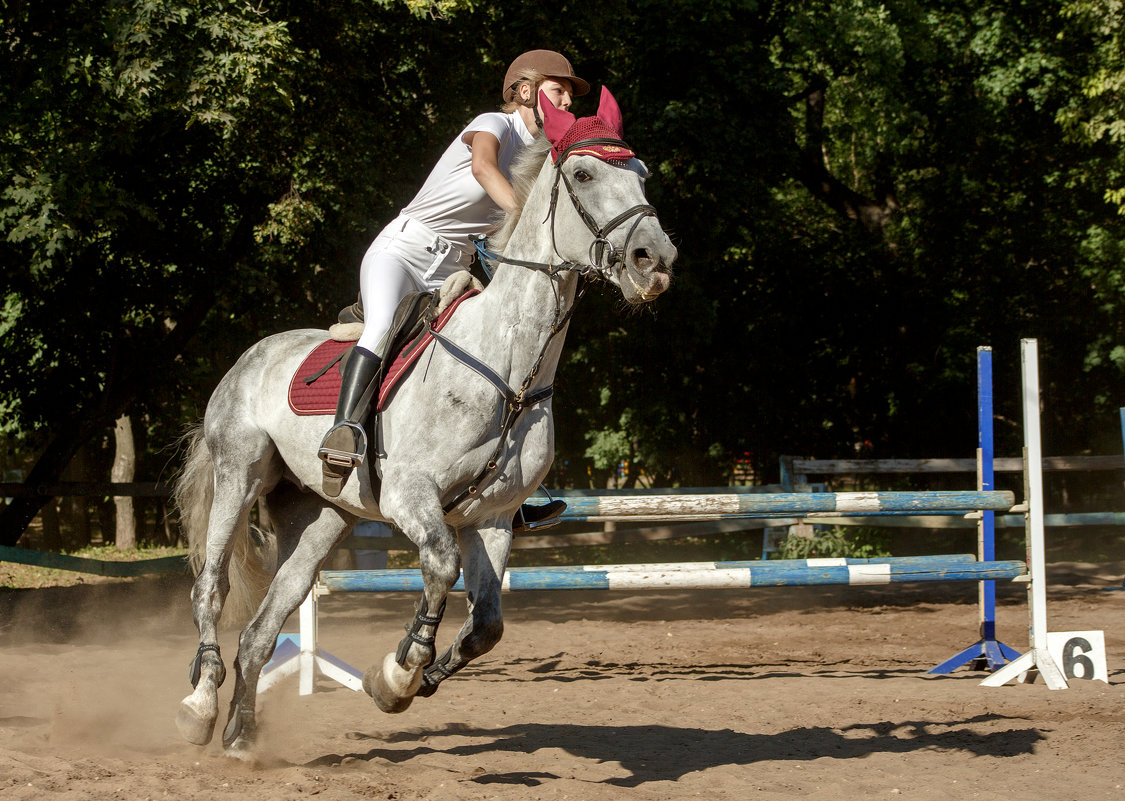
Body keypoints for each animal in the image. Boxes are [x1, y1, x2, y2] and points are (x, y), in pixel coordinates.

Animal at [175, 87, 675, 756]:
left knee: (264, 623)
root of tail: (249, 357)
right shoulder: (412, 497)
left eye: (641, 174)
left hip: (320, 516)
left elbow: (487, 625)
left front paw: (405, 683)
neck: (509, 366)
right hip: (240, 472)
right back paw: (200, 706)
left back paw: (240, 736)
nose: (657, 261)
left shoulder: (490, 518)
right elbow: (440, 564)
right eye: (584, 175)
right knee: (212, 587)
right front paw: (399, 670)